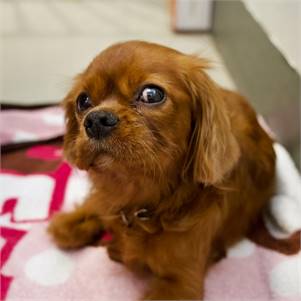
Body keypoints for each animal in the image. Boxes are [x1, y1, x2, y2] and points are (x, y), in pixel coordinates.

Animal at [48, 41, 274, 298]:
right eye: (83, 101)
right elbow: (97, 206)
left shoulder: (181, 284)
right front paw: (75, 220)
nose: (96, 120)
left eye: (151, 94)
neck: (139, 201)